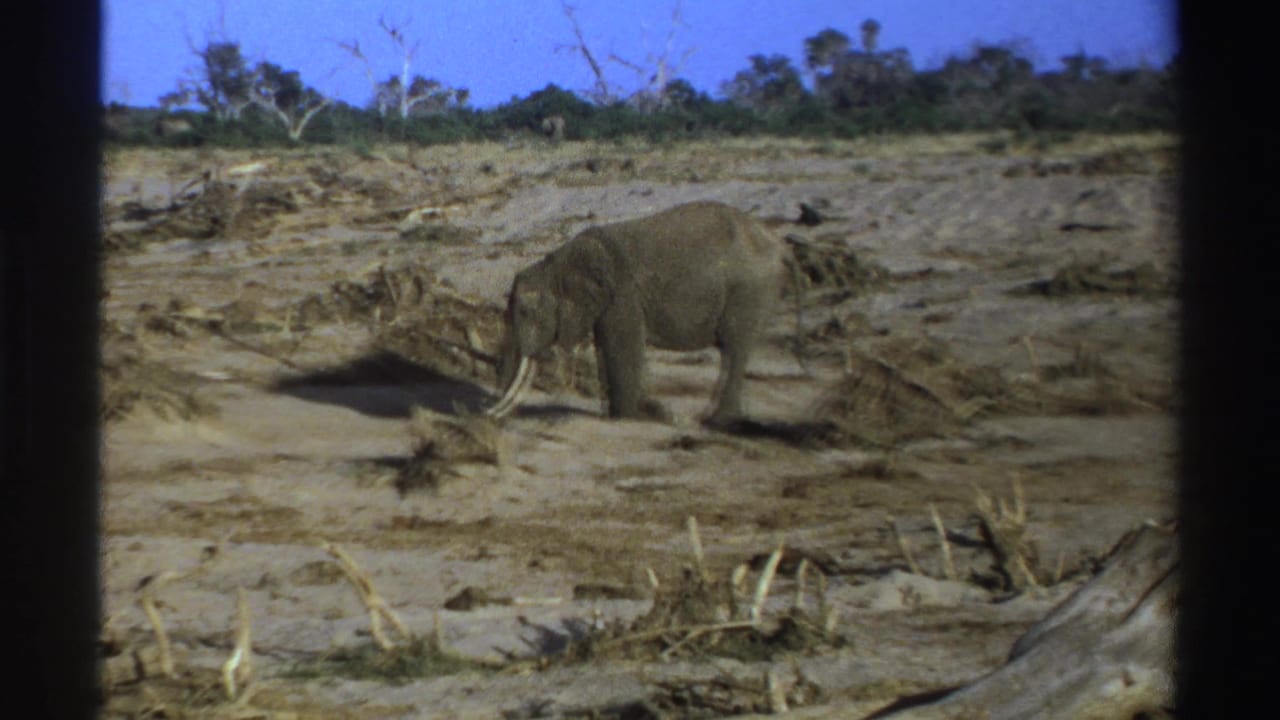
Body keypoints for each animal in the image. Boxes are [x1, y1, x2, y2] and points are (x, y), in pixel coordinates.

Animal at [487, 200, 785, 425]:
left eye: (526, 311)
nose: (488, 413)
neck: (557, 263)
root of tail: (775, 240)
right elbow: (607, 348)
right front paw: (643, 413)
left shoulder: (623, 294)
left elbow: (622, 347)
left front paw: (627, 417)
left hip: (749, 291)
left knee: (734, 348)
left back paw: (716, 421)